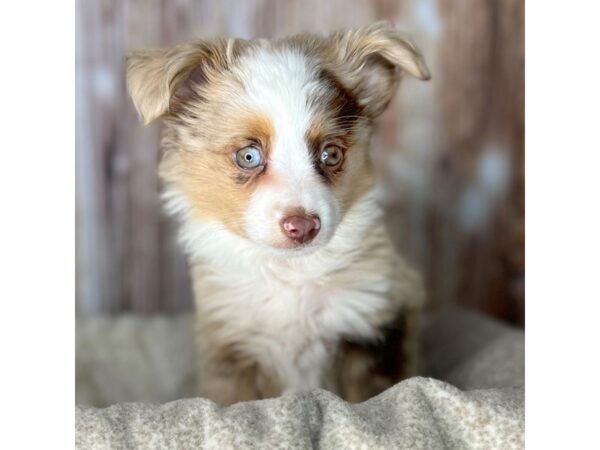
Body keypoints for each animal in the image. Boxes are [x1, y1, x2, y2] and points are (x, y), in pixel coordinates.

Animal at [126, 22, 428, 406]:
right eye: (249, 156)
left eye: (331, 154)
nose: (303, 226)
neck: (290, 273)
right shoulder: (231, 348)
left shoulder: (378, 326)